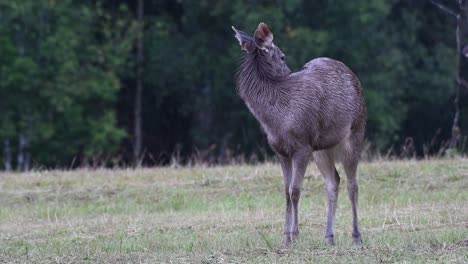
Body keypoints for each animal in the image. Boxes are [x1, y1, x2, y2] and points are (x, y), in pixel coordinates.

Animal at [232, 22, 368, 248]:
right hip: (322, 148)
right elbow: (286, 191)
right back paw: (329, 237)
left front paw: (294, 235)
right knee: (334, 181)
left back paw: (356, 236)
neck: (275, 121)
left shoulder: (302, 145)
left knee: (353, 184)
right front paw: (285, 237)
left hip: (356, 131)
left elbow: (295, 190)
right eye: (282, 56)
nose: (288, 71)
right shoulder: (280, 151)